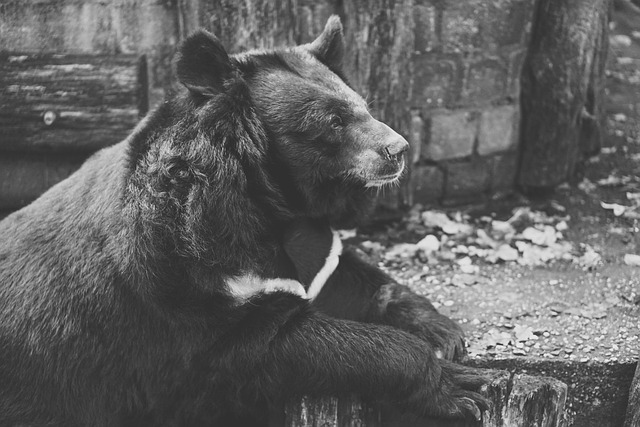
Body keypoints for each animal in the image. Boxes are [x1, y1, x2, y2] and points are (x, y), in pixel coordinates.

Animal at [0, 15, 484, 426]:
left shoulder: (309, 241)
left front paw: (445, 334)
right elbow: (268, 346)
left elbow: (349, 278)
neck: (266, 202)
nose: (398, 149)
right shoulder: (182, 285)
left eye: (363, 106)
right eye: (332, 120)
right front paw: (456, 388)